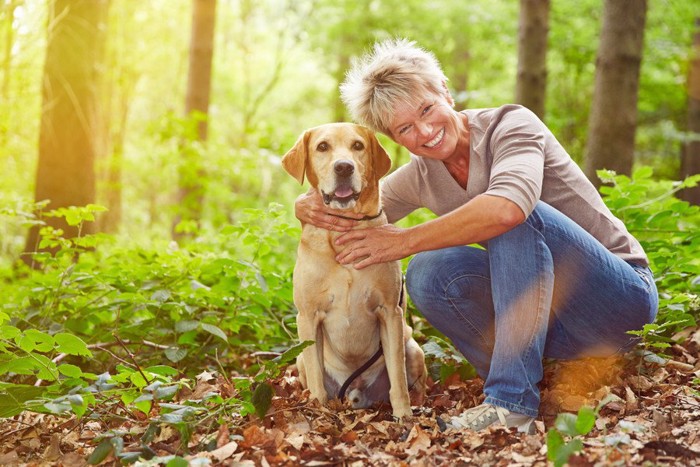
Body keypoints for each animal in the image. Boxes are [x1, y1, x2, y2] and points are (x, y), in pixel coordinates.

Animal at [284, 122, 426, 418]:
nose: (344, 167)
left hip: (413, 347)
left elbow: (398, 378)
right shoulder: (307, 316)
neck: (344, 229)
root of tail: (355, 394)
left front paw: (403, 415)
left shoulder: (390, 311)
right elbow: (316, 379)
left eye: (358, 146)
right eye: (322, 147)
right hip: (300, 357)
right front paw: (318, 411)